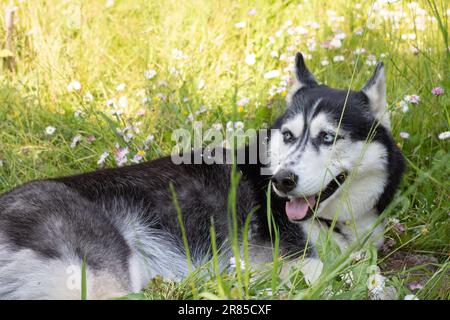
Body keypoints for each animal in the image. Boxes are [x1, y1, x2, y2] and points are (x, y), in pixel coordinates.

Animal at [0, 53, 404, 300]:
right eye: (289, 136)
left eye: (328, 138)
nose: (282, 181)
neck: (337, 220)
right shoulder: (267, 260)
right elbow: (339, 272)